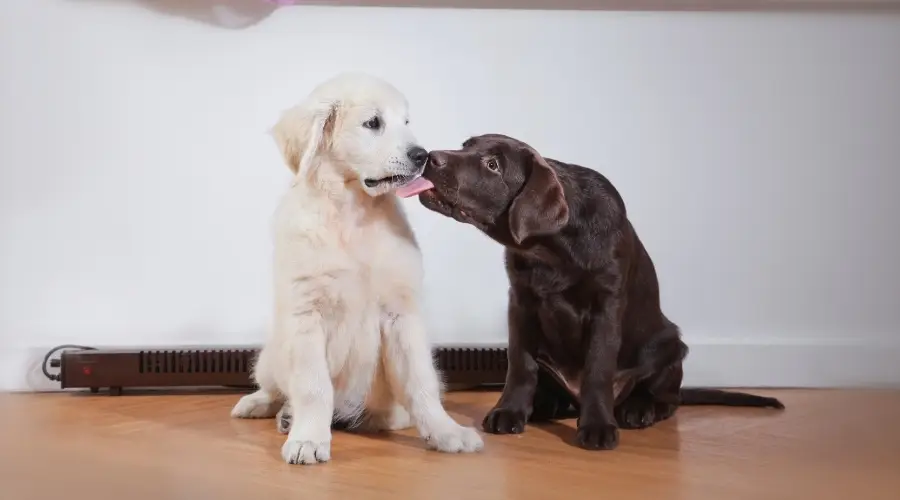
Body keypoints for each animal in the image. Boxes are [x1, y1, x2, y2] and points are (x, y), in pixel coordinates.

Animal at [232, 71, 486, 464]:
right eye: (373, 123)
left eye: (406, 122)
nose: (422, 156)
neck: (353, 212)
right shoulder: (306, 314)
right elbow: (313, 387)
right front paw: (309, 438)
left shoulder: (401, 314)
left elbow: (421, 384)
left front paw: (446, 432)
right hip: (271, 353)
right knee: (275, 387)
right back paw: (267, 407)